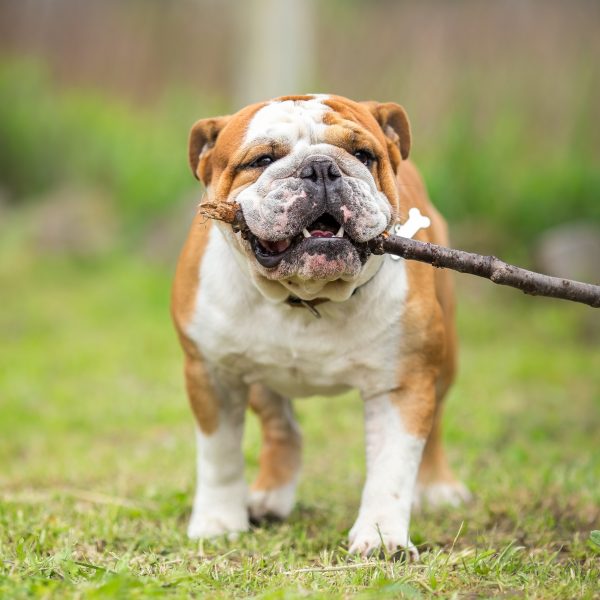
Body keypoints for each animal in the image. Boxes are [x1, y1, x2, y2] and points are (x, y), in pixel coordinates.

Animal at [171, 94, 472, 556]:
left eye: (363, 155)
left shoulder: (402, 382)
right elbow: (220, 456)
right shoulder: (211, 374)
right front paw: (219, 523)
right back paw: (269, 497)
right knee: (284, 430)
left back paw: (438, 487)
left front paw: (381, 537)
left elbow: (392, 467)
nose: (321, 168)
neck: (308, 296)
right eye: (262, 159)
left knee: (436, 419)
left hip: (445, 358)